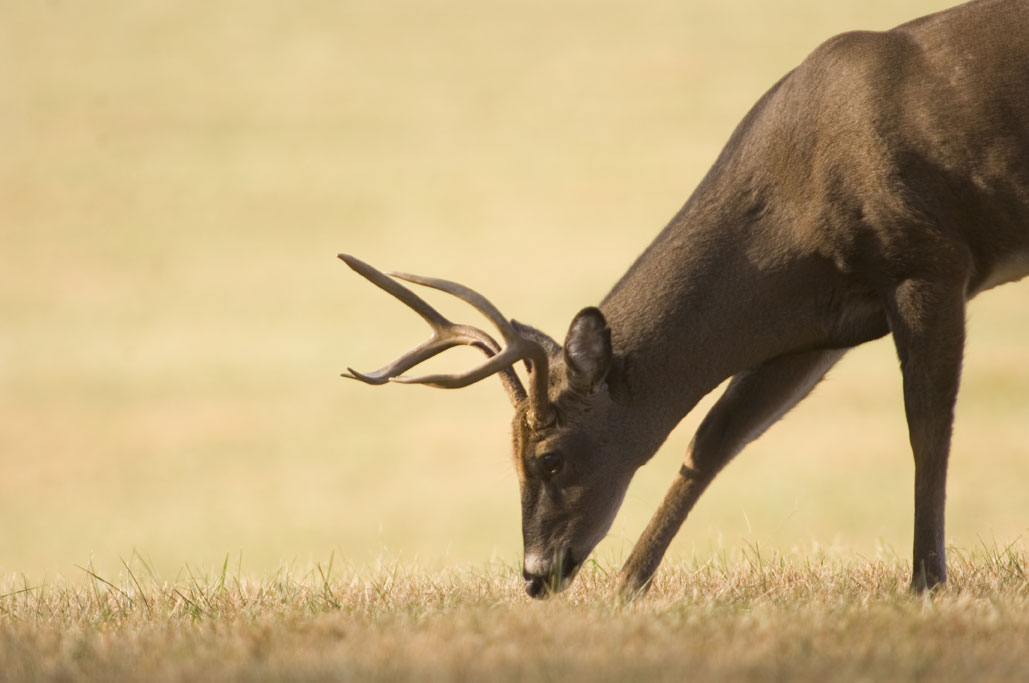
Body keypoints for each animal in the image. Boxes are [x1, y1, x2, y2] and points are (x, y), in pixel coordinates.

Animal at [339, 0, 1029, 596]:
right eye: (510, 456)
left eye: (551, 458)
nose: (534, 575)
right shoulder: (819, 325)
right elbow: (714, 438)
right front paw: (627, 586)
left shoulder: (928, 262)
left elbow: (927, 427)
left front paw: (926, 581)